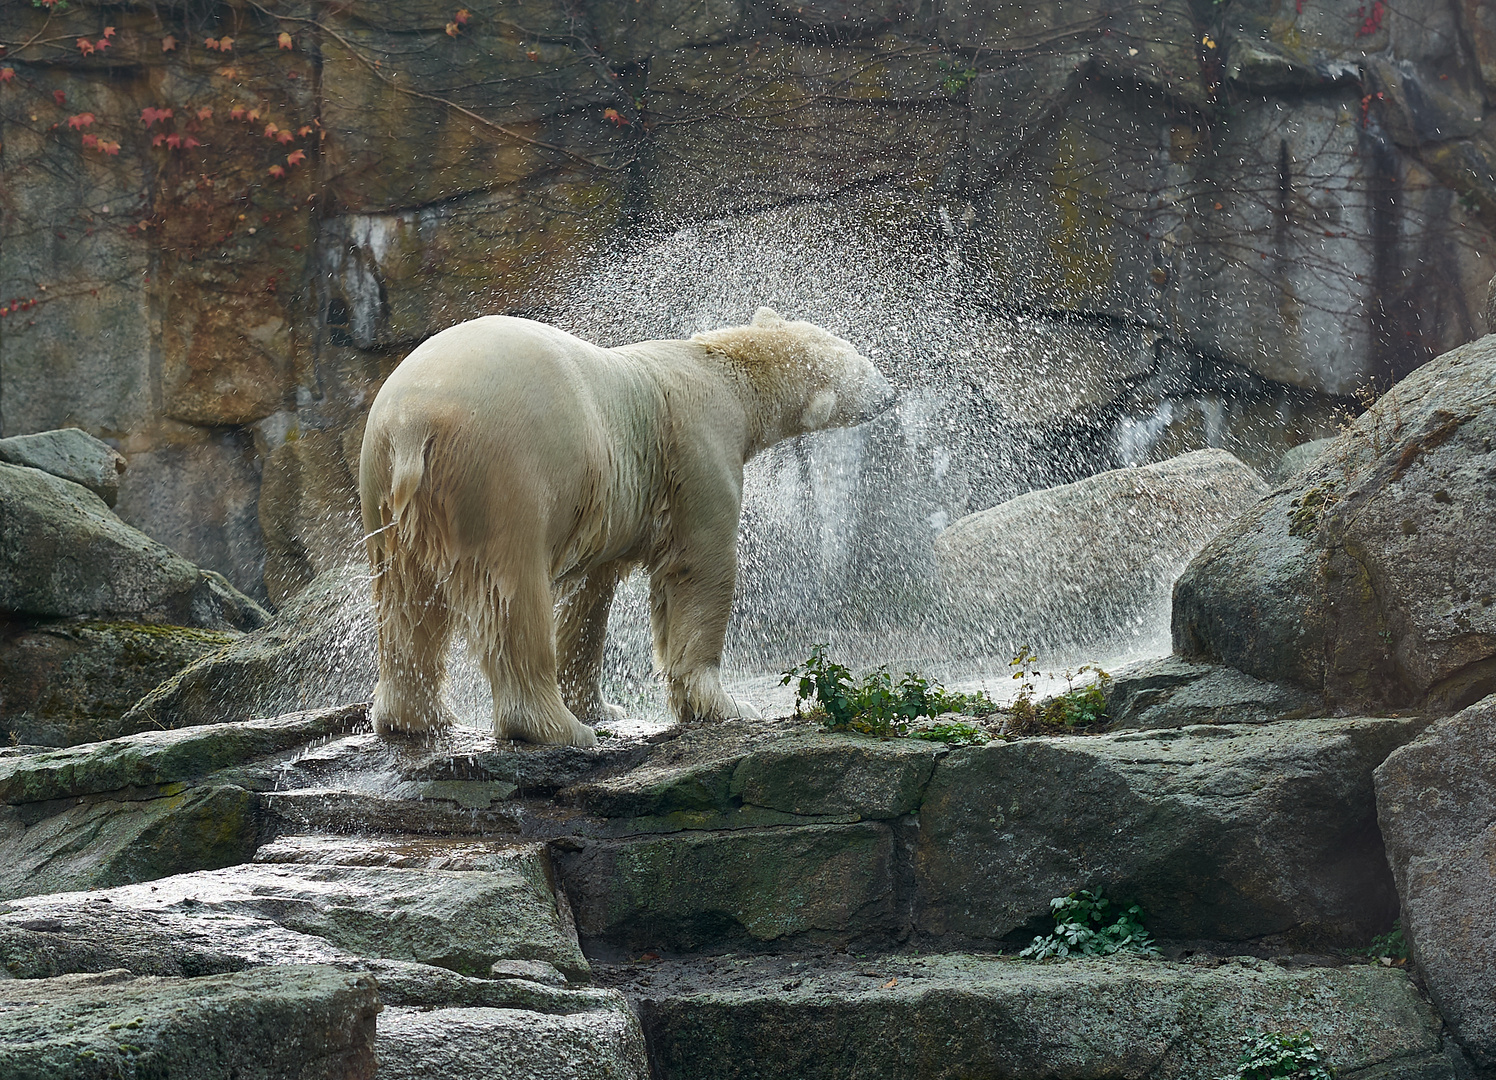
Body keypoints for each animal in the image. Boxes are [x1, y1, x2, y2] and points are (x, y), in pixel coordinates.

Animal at [353, 302, 885, 741]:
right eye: (859, 362)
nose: (890, 389)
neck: (721, 368)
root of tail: (413, 423)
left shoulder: (608, 497)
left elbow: (587, 593)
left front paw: (601, 706)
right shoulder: (697, 447)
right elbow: (698, 565)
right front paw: (725, 706)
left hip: (385, 490)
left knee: (405, 600)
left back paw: (418, 718)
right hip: (503, 473)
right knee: (511, 597)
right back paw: (556, 728)